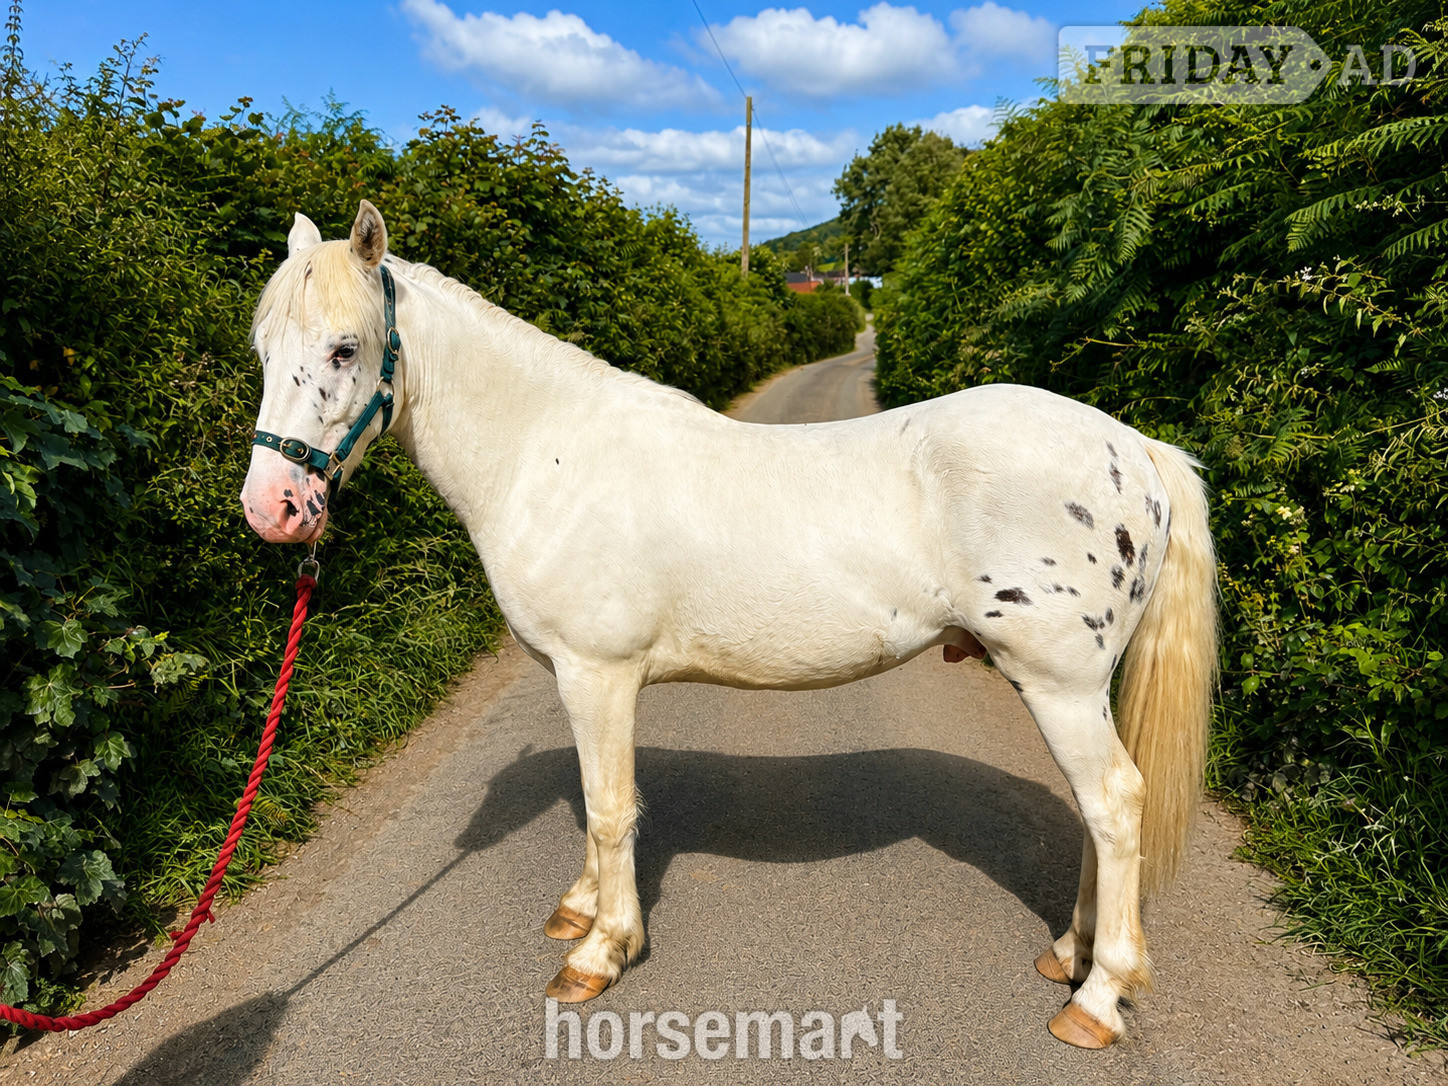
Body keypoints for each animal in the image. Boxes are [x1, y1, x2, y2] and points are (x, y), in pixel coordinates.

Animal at [240, 201, 1217, 1049]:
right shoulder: (576, 676)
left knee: (1116, 805)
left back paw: (1097, 997)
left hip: (1060, 684)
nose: (274, 508)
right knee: (1097, 812)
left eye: (344, 347)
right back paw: (1070, 955)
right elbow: (597, 804)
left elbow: (609, 809)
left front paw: (601, 952)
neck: (548, 454)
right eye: (263, 347)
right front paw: (580, 910)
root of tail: (1135, 449)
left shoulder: (599, 672)